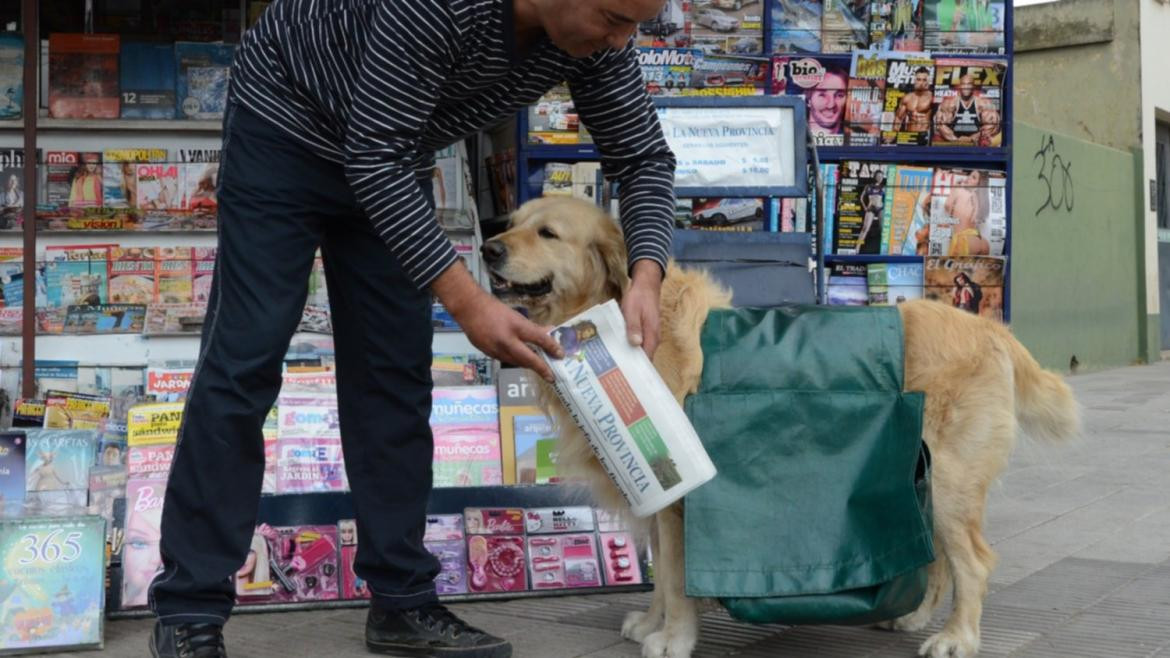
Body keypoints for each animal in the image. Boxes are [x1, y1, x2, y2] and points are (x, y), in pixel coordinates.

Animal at [479, 194, 1081, 655]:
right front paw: (651, 623)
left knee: (973, 563)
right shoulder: (658, 497)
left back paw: (956, 638)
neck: (614, 312)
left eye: (548, 232)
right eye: (511, 221)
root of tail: (992, 329)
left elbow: (673, 578)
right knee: (938, 560)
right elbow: (659, 575)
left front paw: (672, 638)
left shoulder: (680, 499)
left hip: (952, 481)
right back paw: (911, 617)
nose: (488, 248)